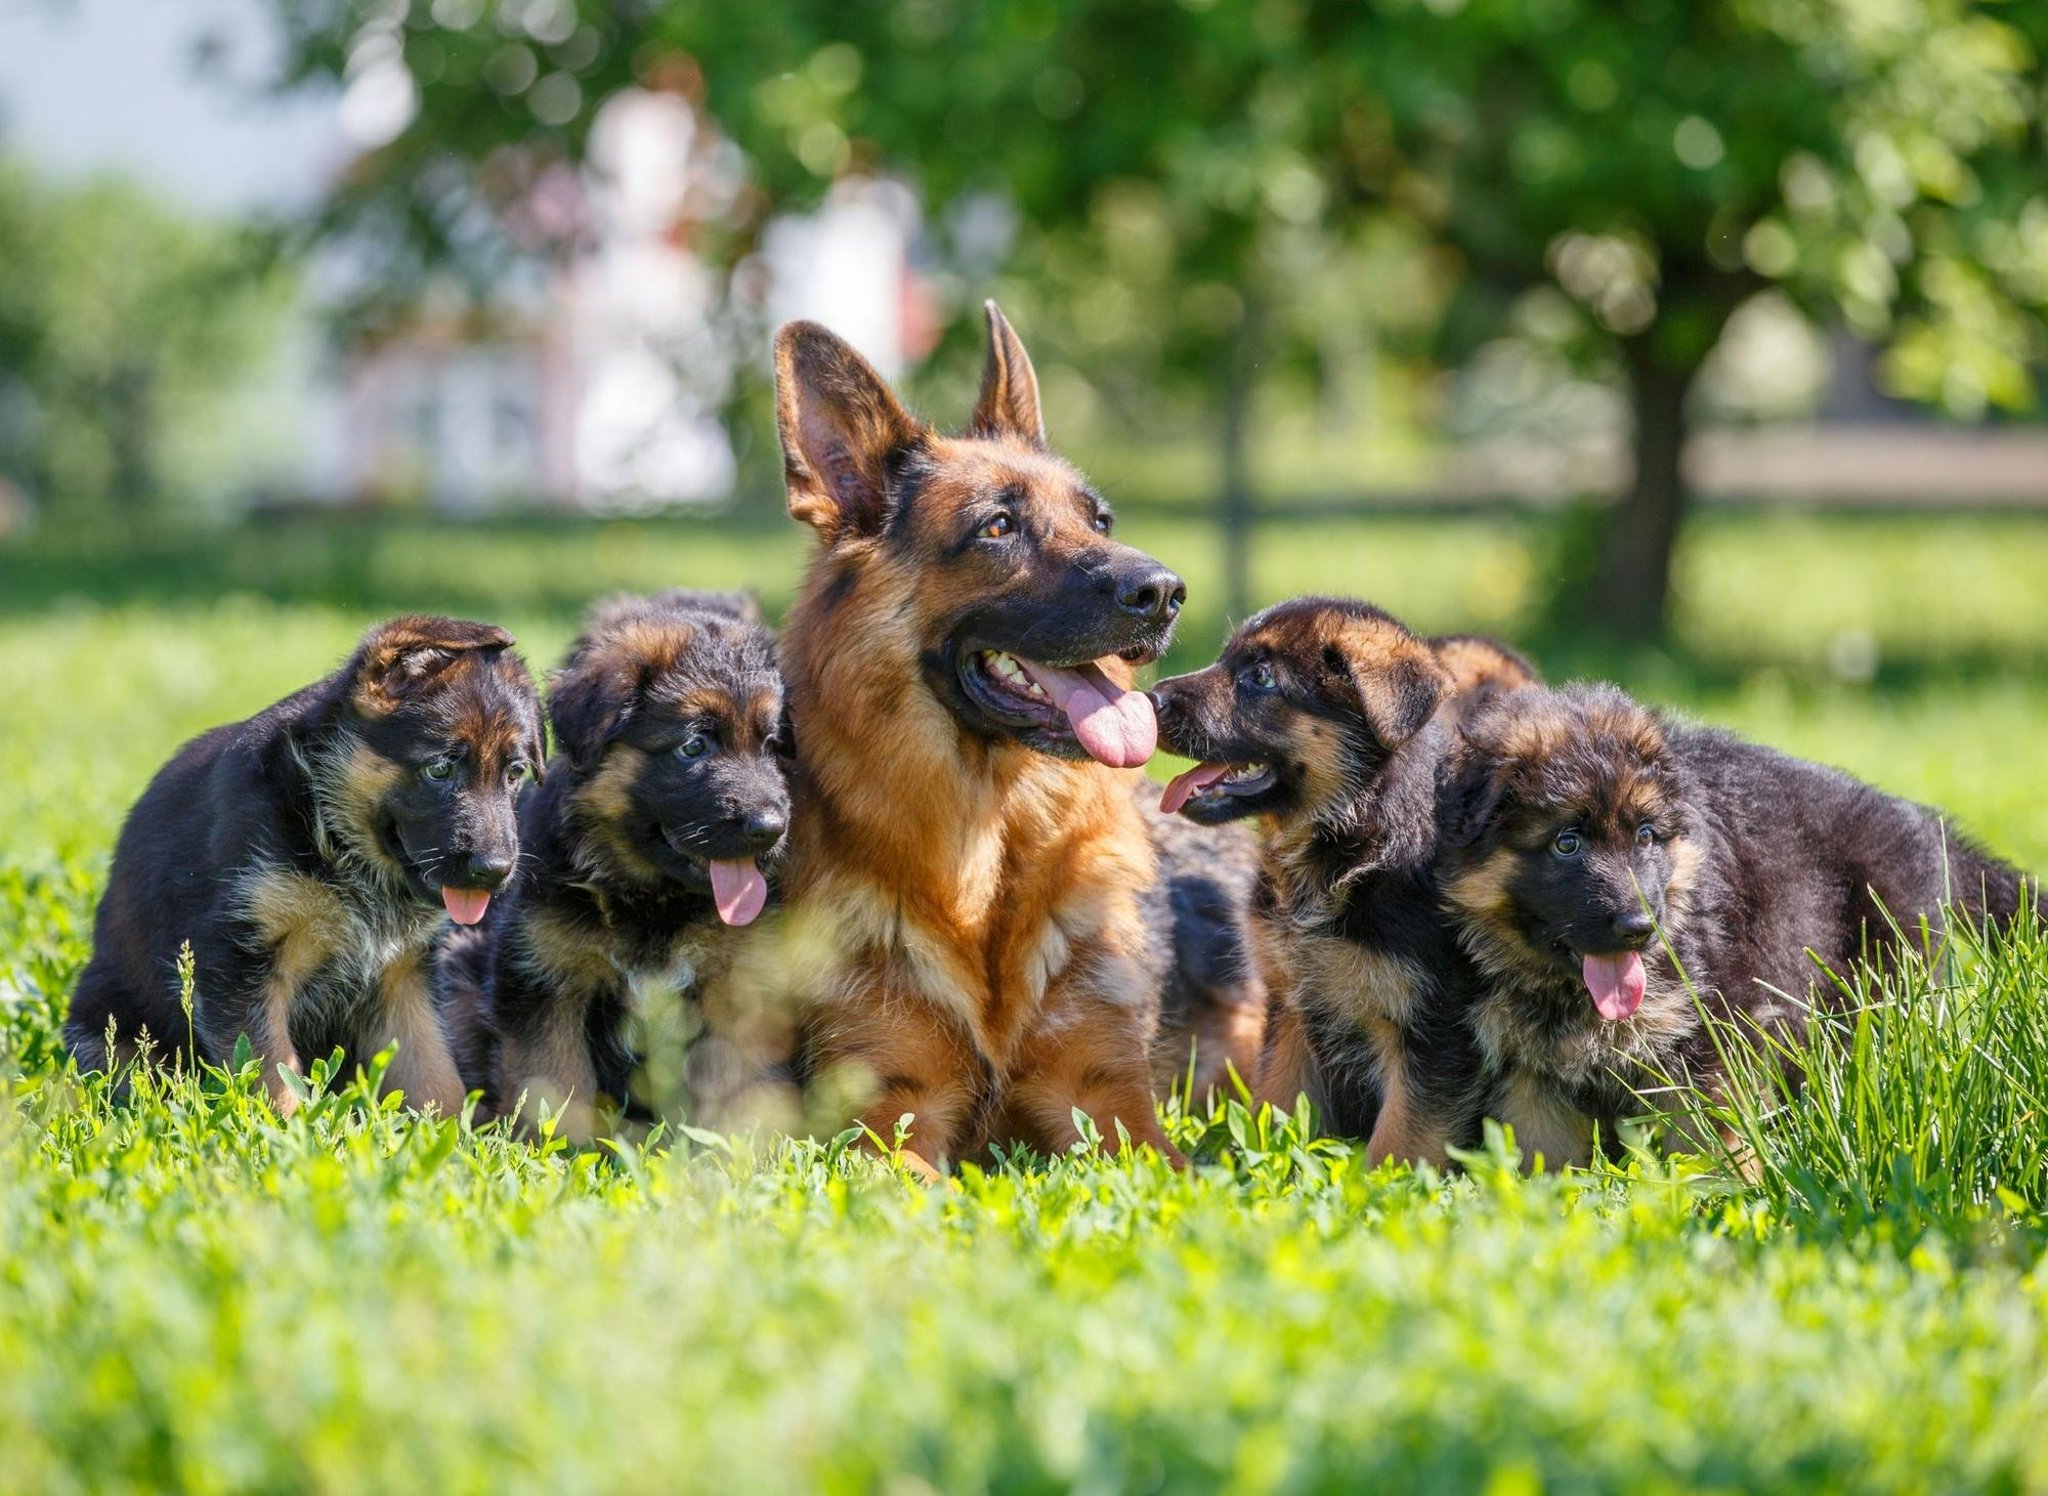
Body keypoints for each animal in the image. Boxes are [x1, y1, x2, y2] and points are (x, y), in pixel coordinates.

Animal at [68, 610, 544, 1114]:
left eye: (515, 774)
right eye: (439, 769)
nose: (495, 871)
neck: (332, 831)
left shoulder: (404, 977)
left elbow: (436, 1076)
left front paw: (453, 1133)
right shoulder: (240, 964)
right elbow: (273, 1070)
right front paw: (287, 1130)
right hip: (108, 1029)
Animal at [440, 590, 790, 1139]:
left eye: (771, 746)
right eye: (694, 745)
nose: (770, 829)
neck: (651, 899)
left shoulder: (738, 988)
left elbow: (741, 1084)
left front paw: (744, 1147)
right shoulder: (545, 982)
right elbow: (554, 1083)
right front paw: (558, 1148)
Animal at [1155, 598, 1540, 1155]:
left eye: (1261, 677)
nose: (1148, 700)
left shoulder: (1436, 1031)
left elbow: (1400, 1140)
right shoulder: (1291, 1009)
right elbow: (1274, 1105)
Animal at [1441, 680, 2031, 1155]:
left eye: (1646, 836)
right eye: (1567, 843)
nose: (1640, 928)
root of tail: (1920, 820)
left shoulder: (1713, 1032)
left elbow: (1707, 1147)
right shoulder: (1528, 1075)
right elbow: (1542, 1163)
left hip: (1880, 983)